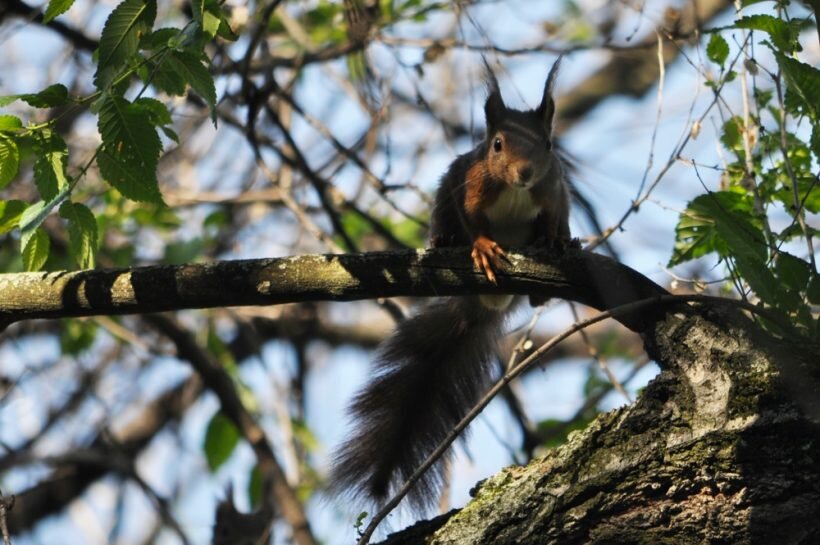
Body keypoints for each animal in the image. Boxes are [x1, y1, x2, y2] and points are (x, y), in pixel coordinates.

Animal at [330, 58, 572, 510]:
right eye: (496, 145)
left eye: (549, 145)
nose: (524, 173)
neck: (515, 191)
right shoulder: (470, 185)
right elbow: (472, 219)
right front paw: (482, 247)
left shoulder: (554, 192)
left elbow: (553, 218)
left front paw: (553, 240)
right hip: (445, 195)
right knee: (447, 221)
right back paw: (445, 241)